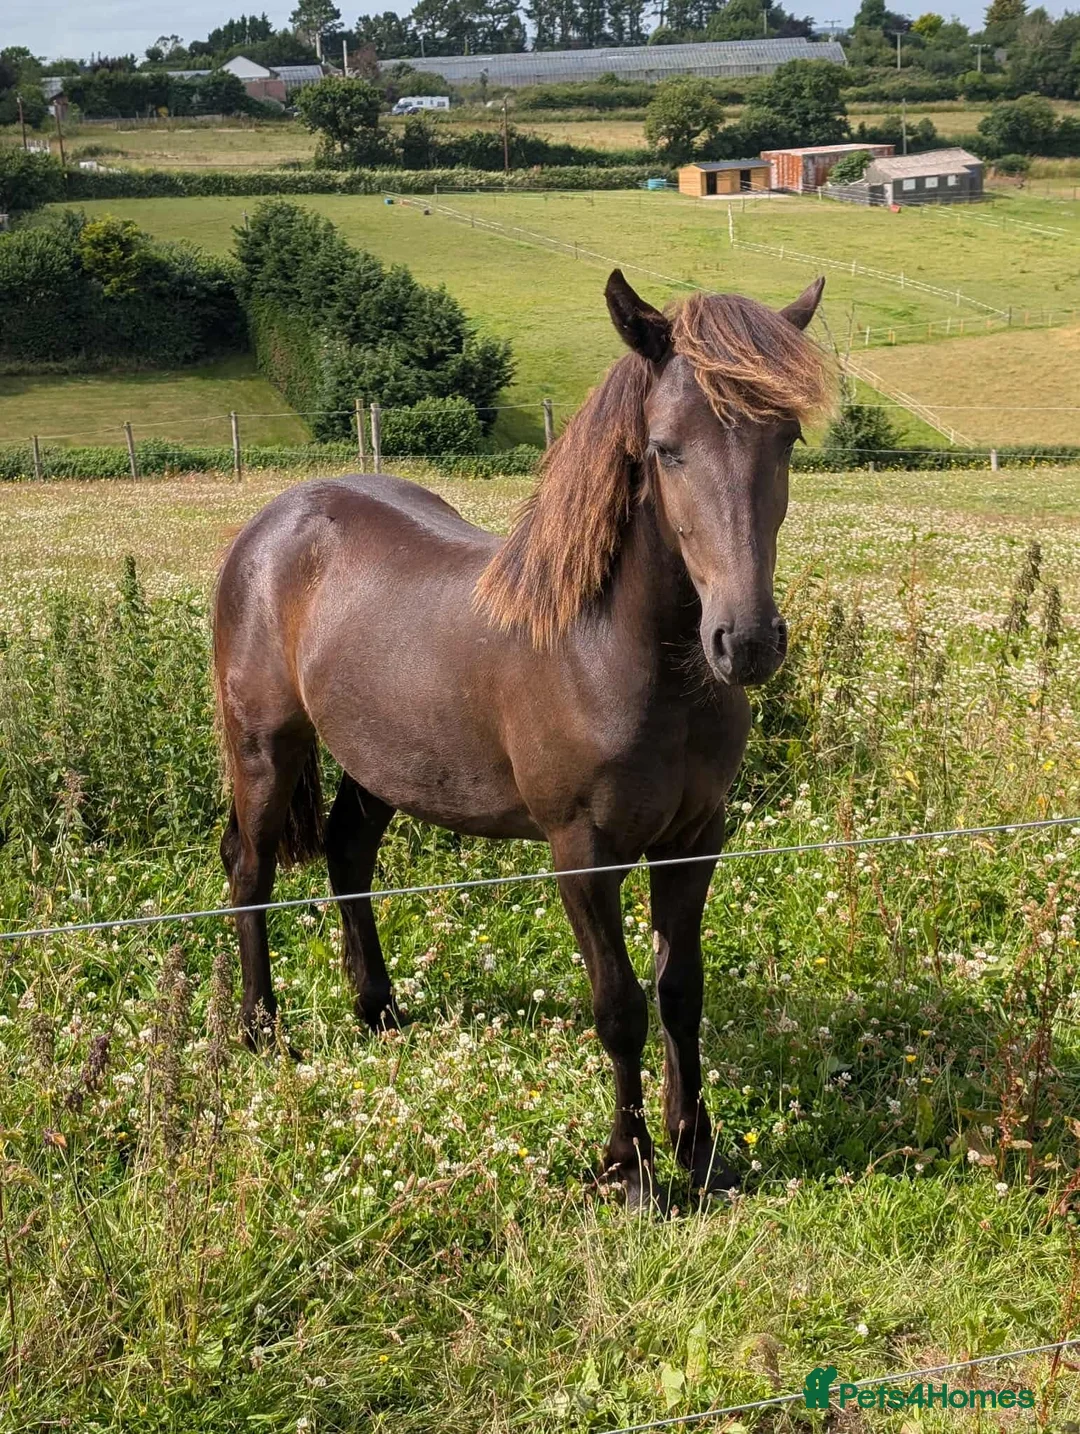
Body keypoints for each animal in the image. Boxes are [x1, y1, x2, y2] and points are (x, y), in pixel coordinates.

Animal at [213, 269, 833, 1209]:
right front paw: (631, 1170)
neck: (614, 651)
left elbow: (680, 993)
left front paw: (700, 1152)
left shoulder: (696, 840)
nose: (748, 641)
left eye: (786, 438)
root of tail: (270, 524)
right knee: (249, 871)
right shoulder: (582, 852)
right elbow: (619, 1005)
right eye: (666, 448)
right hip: (264, 746)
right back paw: (260, 1030)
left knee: (348, 854)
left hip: (380, 763)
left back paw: (380, 1012)